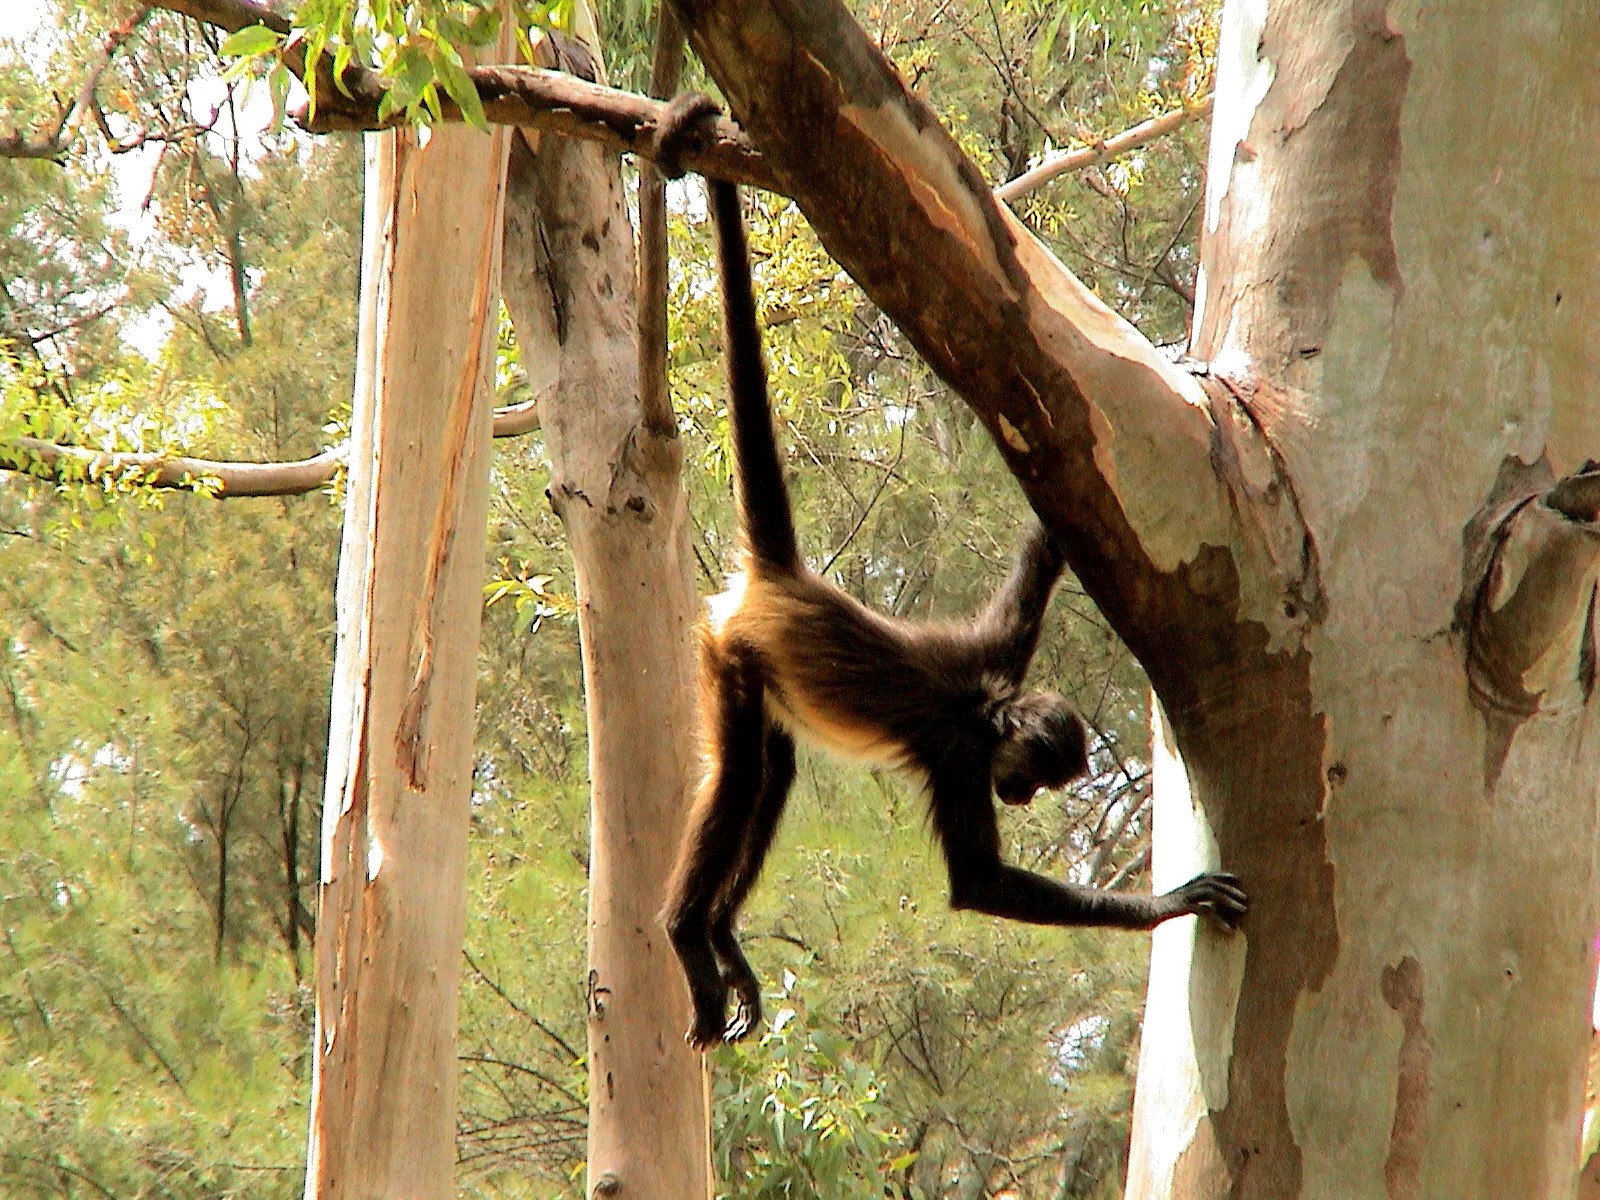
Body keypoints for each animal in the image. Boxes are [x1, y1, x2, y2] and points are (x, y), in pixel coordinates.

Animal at [649, 96, 1248, 1049]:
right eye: (1030, 777)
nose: (1027, 801)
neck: (987, 701)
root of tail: (785, 580)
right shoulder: (962, 752)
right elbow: (978, 884)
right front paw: (1174, 903)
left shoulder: (997, 648)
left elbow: (1040, 561)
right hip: (731, 656)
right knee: (742, 778)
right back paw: (685, 935)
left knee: (771, 777)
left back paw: (722, 940)